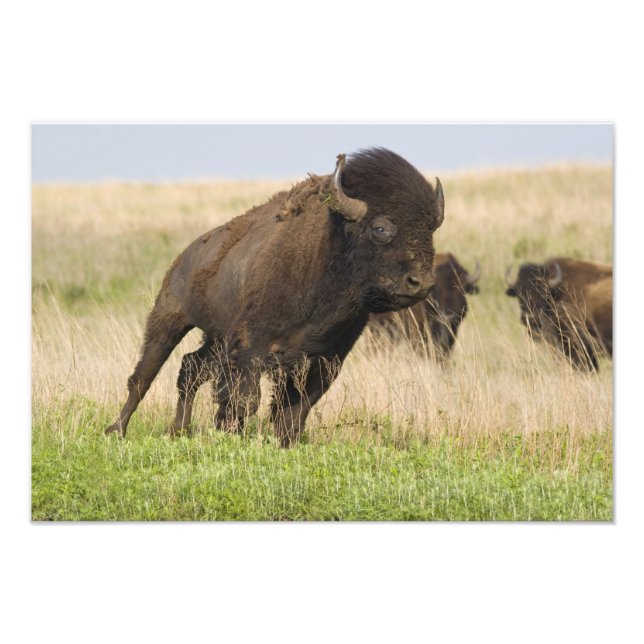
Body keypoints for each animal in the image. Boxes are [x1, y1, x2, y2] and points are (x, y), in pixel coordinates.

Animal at [106, 148, 445, 446]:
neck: (326, 252)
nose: (421, 282)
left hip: (215, 340)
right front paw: (233, 437)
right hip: (168, 318)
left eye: (430, 230)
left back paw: (179, 431)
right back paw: (116, 431)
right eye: (380, 228)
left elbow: (294, 411)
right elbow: (244, 401)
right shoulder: (250, 348)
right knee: (143, 376)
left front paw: (281, 443)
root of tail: (185, 256)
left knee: (190, 369)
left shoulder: (325, 360)